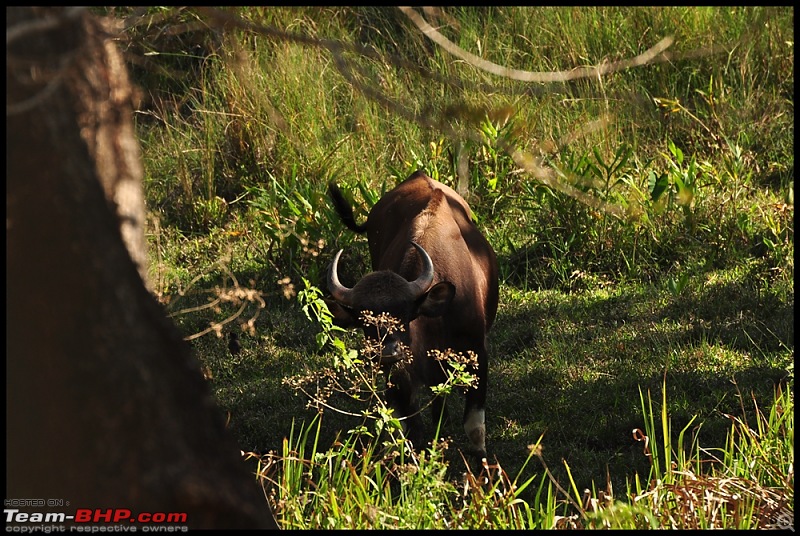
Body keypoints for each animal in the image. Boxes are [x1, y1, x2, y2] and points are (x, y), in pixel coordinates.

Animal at [326, 172, 500, 456]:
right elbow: (405, 430)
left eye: (405, 315)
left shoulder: (478, 356)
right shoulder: (397, 379)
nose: (388, 352)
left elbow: (475, 429)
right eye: (364, 321)